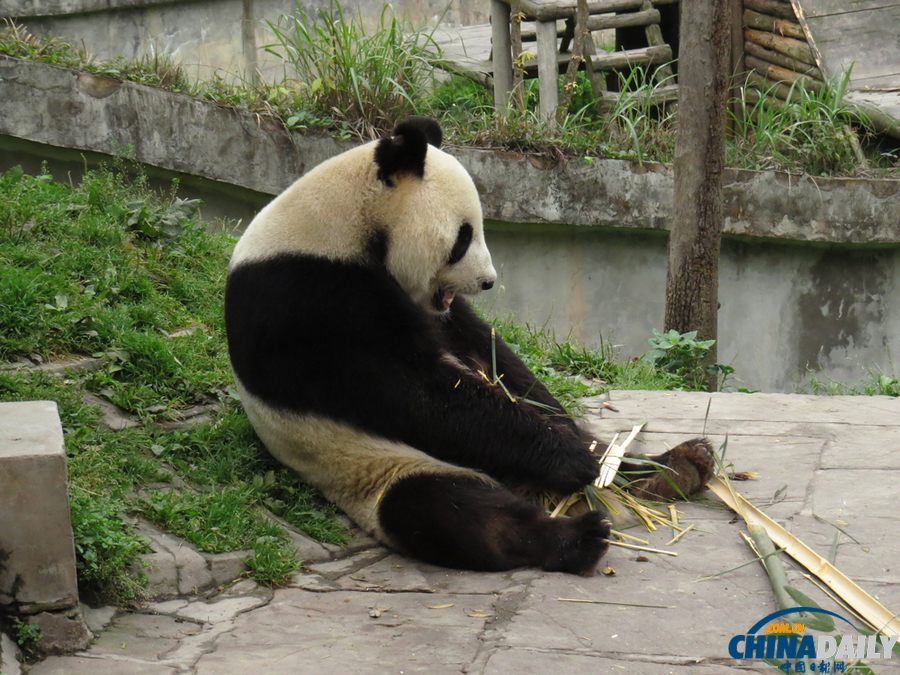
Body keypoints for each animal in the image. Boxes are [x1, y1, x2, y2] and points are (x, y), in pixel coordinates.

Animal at [223, 117, 712, 576]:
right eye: (463, 237)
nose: (488, 281)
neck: (342, 224)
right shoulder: (309, 301)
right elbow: (416, 394)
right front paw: (566, 458)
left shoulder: (431, 309)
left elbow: (490, 354)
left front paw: (567, 437)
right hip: (374, 467)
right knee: (449, 508)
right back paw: (576, 536)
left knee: (606, 451)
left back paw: (675, 467)